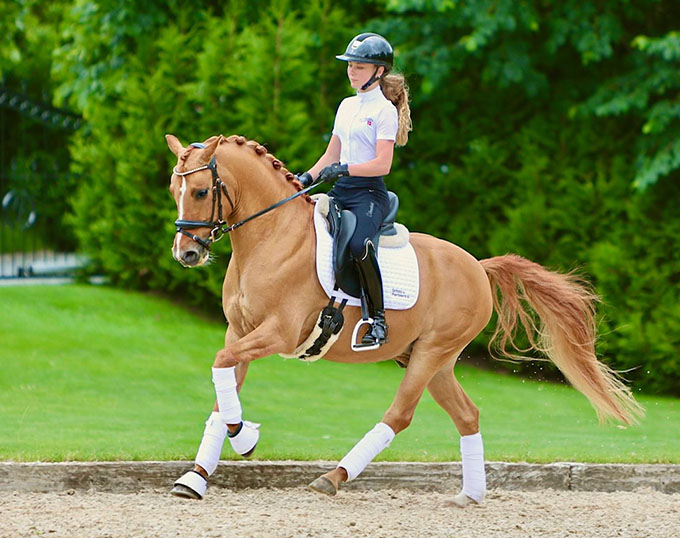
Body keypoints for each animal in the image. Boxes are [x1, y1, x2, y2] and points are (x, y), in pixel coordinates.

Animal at [165, 133, 643, 505]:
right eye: (174, 190)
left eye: (202, 192)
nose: (186, 254)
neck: (271, 237)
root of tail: (478, 266)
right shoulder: (240, 331)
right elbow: (222, 387)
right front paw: (197, 476)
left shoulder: (278, 333)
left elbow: (221, 367)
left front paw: (246, 437)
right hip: (435, 361)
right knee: (467, 415)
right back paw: (470, 495)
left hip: (432, 352)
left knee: (399, 415)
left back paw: (333, 477)